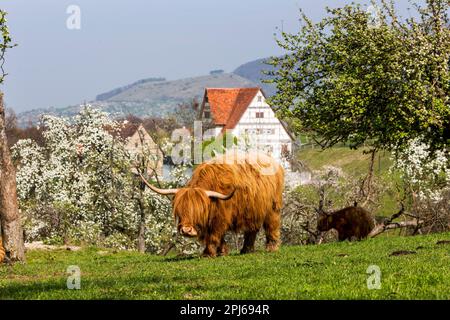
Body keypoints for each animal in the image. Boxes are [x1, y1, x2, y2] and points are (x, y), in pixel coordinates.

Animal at [141, 152, 284, 258]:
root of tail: (275, 163)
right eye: (180, 211)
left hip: (273, 208)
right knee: (251, 230)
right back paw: (246, 250)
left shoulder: (220, 218)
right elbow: (216, 237)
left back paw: (272, 247)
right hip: (253, 211)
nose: (186, 230)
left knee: (272, 226)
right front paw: (222, 251)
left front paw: (208, 254)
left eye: (197, 211)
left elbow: (214, 235)